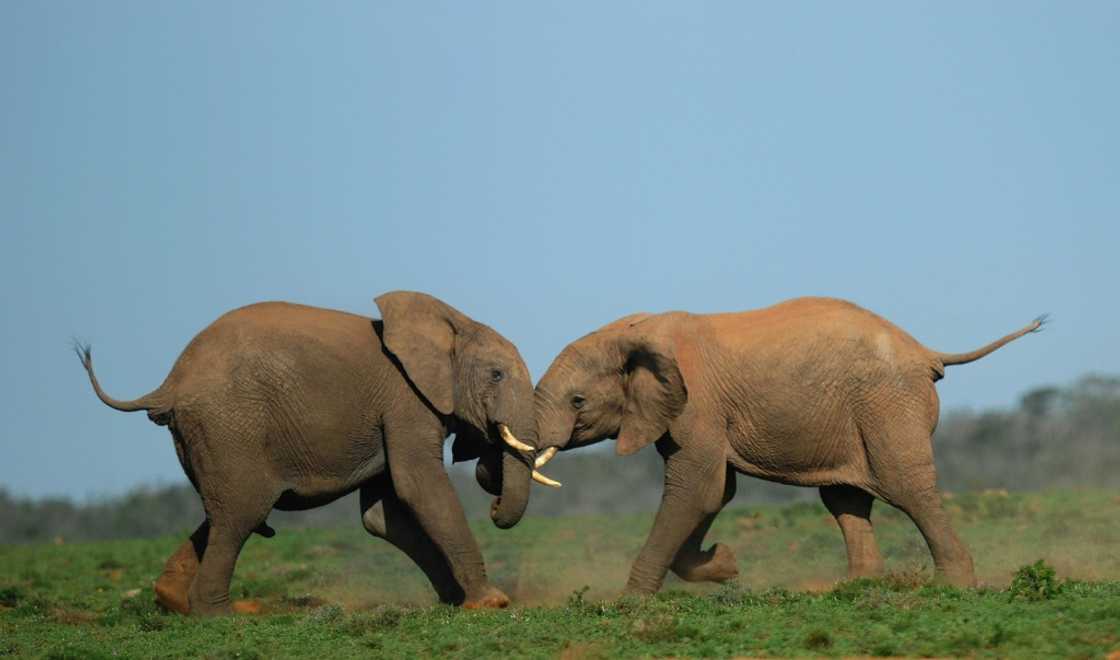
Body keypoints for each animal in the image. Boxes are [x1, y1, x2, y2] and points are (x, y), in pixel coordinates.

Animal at [74, 291, 555, 614]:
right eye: (496, 375)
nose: (493, 501)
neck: (451, 323)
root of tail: (170, 383)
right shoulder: (405, 401)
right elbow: (419, 486)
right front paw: (491, 602)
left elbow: (382, 515)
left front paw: (455, 600)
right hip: (230, 428)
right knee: (241, 513)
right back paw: (221, 616)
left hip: (208, 435)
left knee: (224, 511)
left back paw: (172, 601)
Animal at [533, 295, 1039, 596]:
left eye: (578, 401)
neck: (632, 331)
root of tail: (925, 352)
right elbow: (714, 492)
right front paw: (725, 565)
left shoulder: (697, 406)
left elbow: (696, 489)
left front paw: (631, 603)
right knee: (844, 498)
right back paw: (854, 588)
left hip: (889, 405)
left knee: (905, 487)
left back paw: (954, 587)